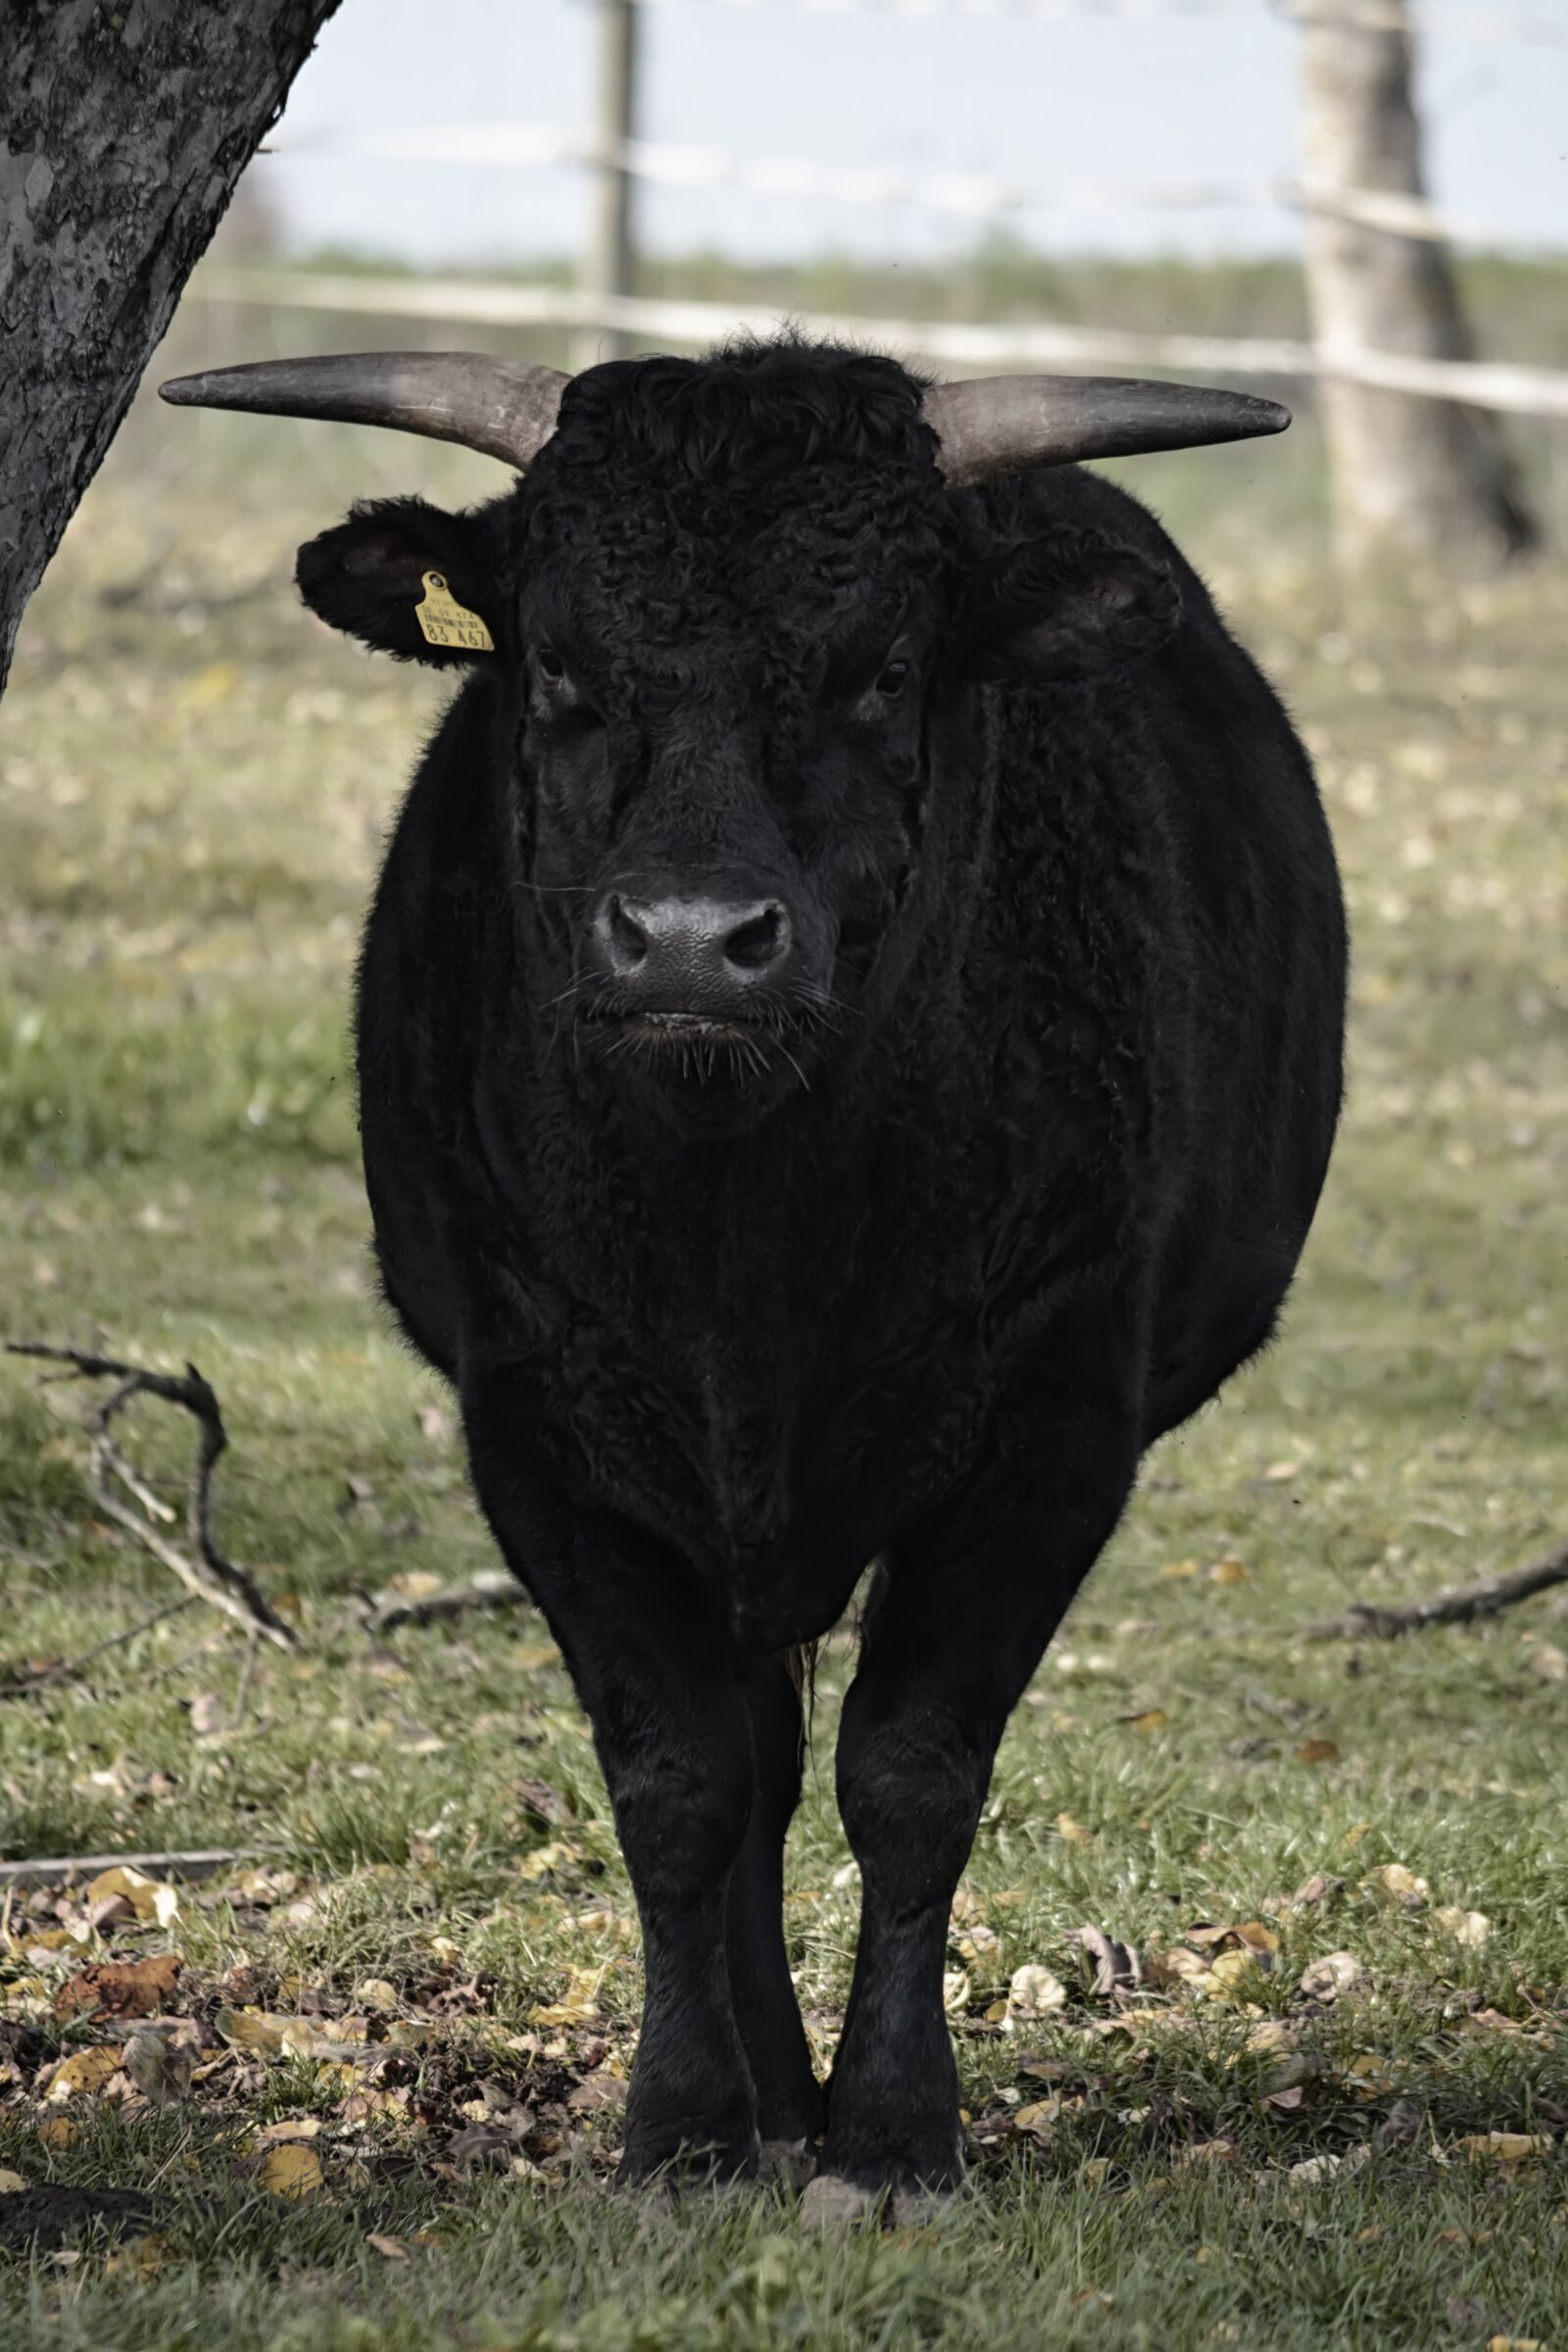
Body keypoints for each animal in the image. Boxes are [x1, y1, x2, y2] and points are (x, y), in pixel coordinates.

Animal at [162, 338, 1347, 2216]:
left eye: (882, 672)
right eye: (560, 664)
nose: (691, 945)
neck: (747, 1239)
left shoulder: (1058, 1421)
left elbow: (913, 1773)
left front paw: (896, 2132)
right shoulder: (537, 1424)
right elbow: (681, 1783)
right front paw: (684, 2122)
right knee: (756, 1768)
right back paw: (768, 2089)